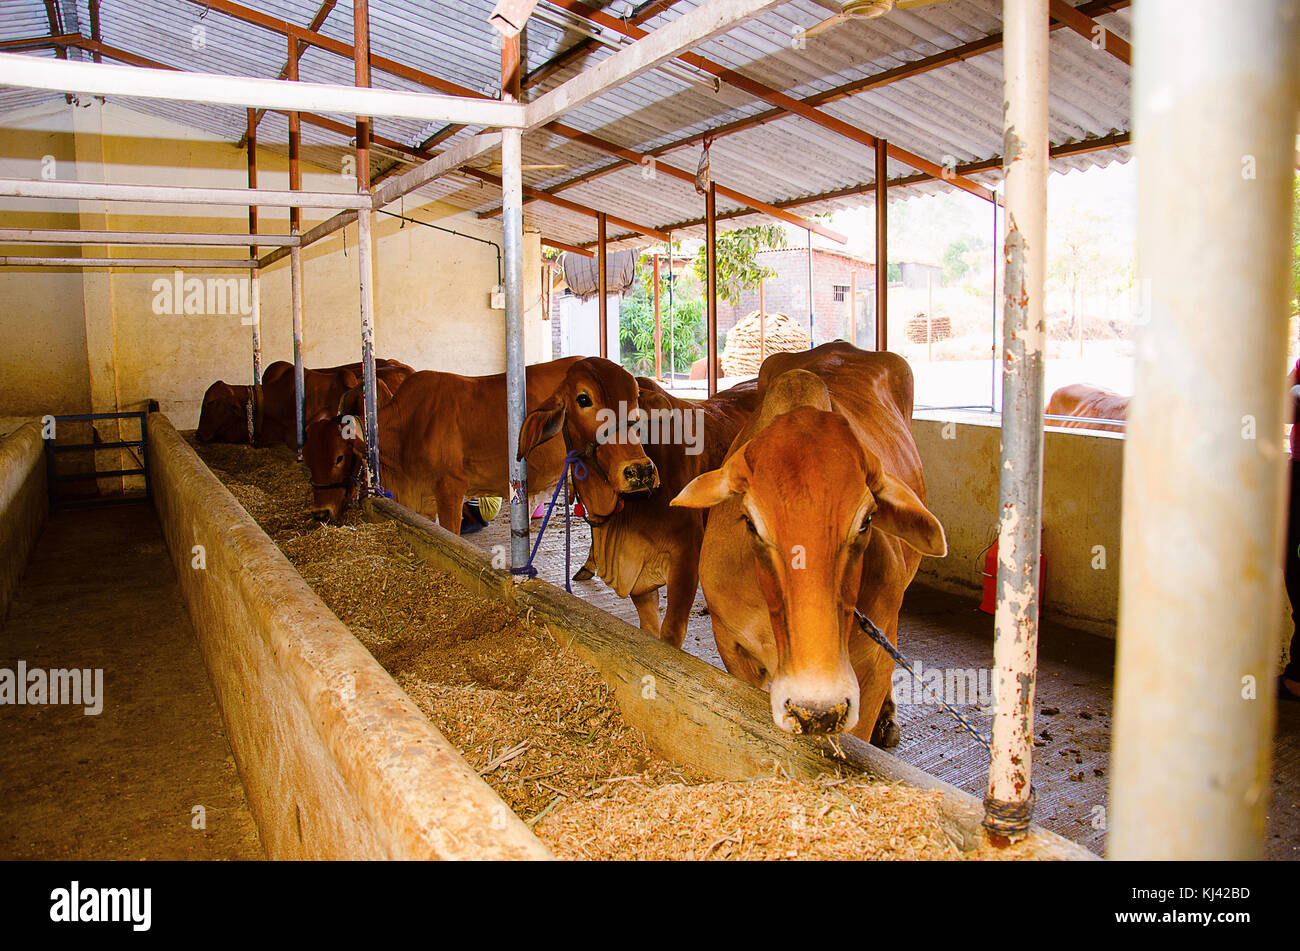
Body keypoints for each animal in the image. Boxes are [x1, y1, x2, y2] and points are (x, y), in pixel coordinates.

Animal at [520, 361, 759, 649]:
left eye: (635, 397)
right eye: (583, 399)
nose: (641, 471)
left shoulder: (686, 558)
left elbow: (669, 637)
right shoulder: (637, 575)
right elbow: (649, 631)